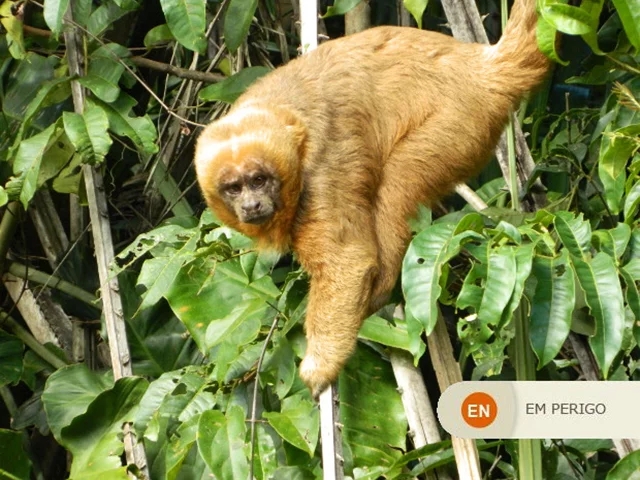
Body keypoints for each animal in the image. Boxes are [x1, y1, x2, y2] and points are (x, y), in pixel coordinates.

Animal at [194, 0, 552, 398]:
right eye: (234, 188)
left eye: (259, 180)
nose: (251, 205)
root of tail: (483, 68)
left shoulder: (321, 170)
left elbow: (347, 262)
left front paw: (320, 366)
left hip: (462, 121)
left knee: (399, 180)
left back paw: (378, 290)